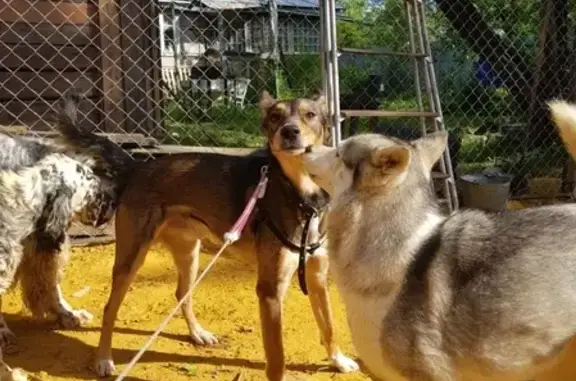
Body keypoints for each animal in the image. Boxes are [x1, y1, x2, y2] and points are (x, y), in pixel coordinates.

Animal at [55, 92, 360, 380]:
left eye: (310, 115)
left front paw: (338, 361)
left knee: (181, 293)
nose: (289, 131)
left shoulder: (317, 277)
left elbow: (329, 325)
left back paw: (197, 333)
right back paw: (103, 360)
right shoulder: (270, 290)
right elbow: (277, 360)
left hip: (189, 254)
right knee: (110, 308)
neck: (300, 196)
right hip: (131, 259)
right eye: (276, 116)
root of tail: (137, 167)